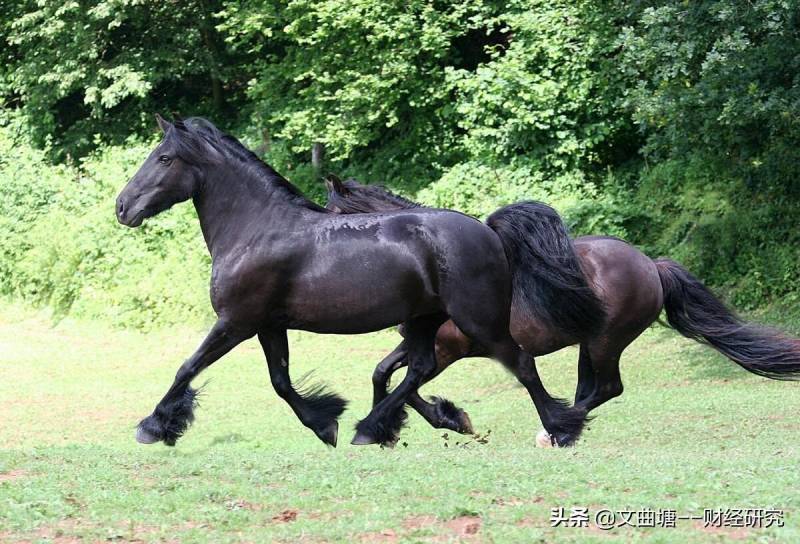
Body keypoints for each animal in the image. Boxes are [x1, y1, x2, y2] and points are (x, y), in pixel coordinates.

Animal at [115, 117, 596, 448]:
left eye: (163, 158)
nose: (122, 207)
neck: (257, 229)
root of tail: (489, 230)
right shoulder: (269, 325)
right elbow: (281, 382)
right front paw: (325, 423)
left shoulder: (237, 321)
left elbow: (187, 366)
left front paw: (153, 426)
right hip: (425, 320)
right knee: (418, 369)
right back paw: (382, 427)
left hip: (480, 321)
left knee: (522, 365)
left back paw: (562, 429)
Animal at [324, 176, 800, 444]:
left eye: (329, 213)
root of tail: (653, 266)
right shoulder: (424, 345)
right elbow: (384, 374)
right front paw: (433, 420)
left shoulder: (448, 349)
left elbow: (406, 384)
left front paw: (444, 419)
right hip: (590, 343)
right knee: (592, 388)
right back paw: (563, 424)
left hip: (607, 341)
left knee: (607, 388)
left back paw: (558, 429)